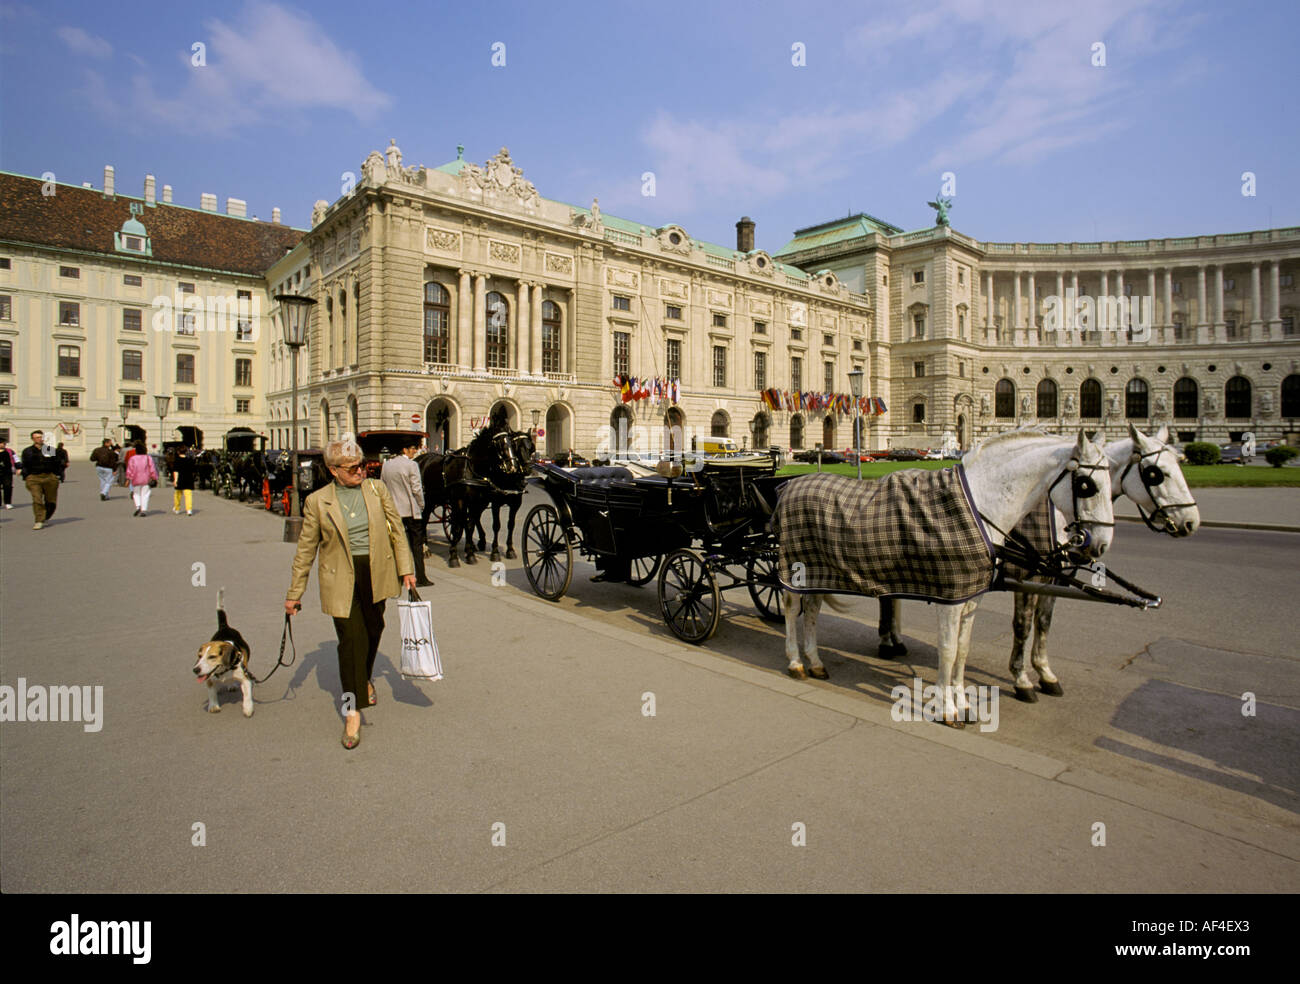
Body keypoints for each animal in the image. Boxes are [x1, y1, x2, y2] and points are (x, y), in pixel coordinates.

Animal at [191, 587, 254, 717]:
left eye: (212, 657)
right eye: (199, 656)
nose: (196, 670)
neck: (224, 670)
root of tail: (224, 627)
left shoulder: (245, 678)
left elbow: (247, 695)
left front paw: (248, 708)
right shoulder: (209, 679)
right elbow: (211, 693)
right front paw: (213, 706)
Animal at [774, 428, 1112, 722]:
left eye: (1110, 484)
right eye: (1086, 485)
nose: (1100, 545)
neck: (978, 505)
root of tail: (790, 485)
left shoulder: (971, 597)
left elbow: (962, 650)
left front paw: (962, 702)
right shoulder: (951, 597)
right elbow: (948, 651)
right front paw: (947, 709)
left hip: (819, 571)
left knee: (813, 610)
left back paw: (815, 661)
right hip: (795, 570)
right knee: (792, 609)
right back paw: (795, 661)